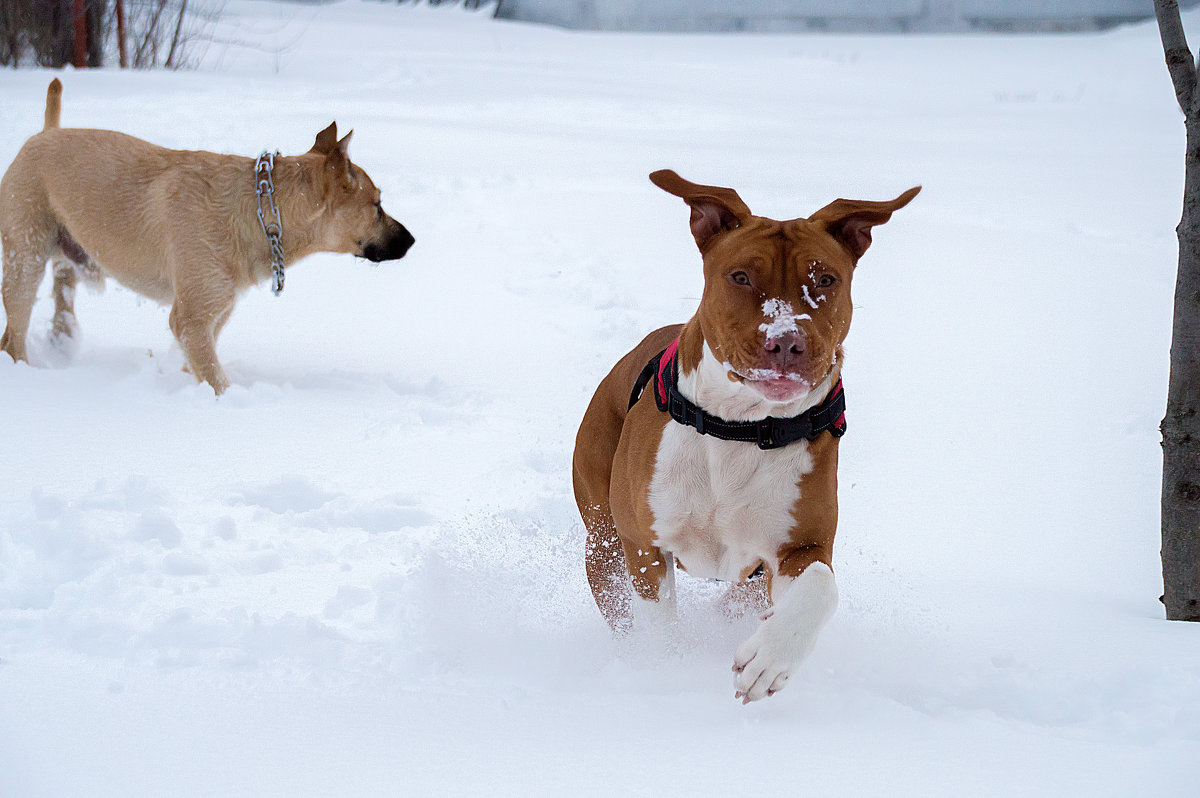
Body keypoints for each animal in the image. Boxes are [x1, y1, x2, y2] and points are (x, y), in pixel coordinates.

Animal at [1, 80, 412, 391]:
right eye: (377, 205)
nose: (412, 240)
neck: (263, 212)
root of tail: (44, 133)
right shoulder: (192, 318)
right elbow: (216, 380)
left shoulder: (213, 313)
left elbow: (200, 364)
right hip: (25, 264)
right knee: (12, 338)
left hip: (65, 258)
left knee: (61, 298)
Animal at [571, 166, 916, 696]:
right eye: (740, 276)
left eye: (825, 279)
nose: (786, 342)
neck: (740, 426)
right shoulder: (644, 547)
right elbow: (656, 625)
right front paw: (662, 673)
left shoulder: (799, 547)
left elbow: (820, 586)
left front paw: (770, 658)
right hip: (602, 540)